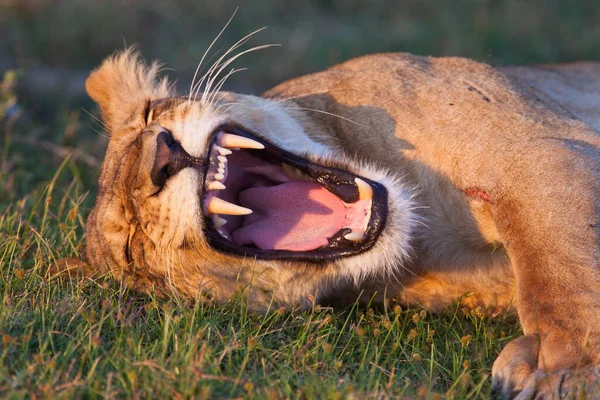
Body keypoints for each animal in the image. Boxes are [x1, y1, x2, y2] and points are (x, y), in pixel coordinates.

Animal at [72, 49, 596, 396]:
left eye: (148, 115)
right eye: (133, 246)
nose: (159, 158)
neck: (424, 237)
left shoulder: (538, 150)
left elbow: (556, 266)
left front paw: (565, 368)